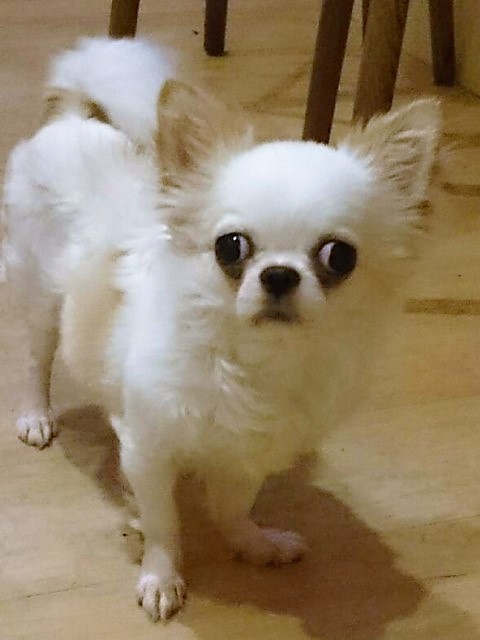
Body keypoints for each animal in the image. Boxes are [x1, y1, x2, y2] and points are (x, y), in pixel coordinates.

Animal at [2, 37, 440, 620]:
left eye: (339, 256)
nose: (279, 274)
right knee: (36, 358)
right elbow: (164, 521)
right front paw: (161, 576)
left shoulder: (247, 455)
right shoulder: (147, 448)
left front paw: (252, 542)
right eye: (230, 247)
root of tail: (72, 119)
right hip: (41, 299)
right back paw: (35, 416)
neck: (256, 362)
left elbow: (234, 504)